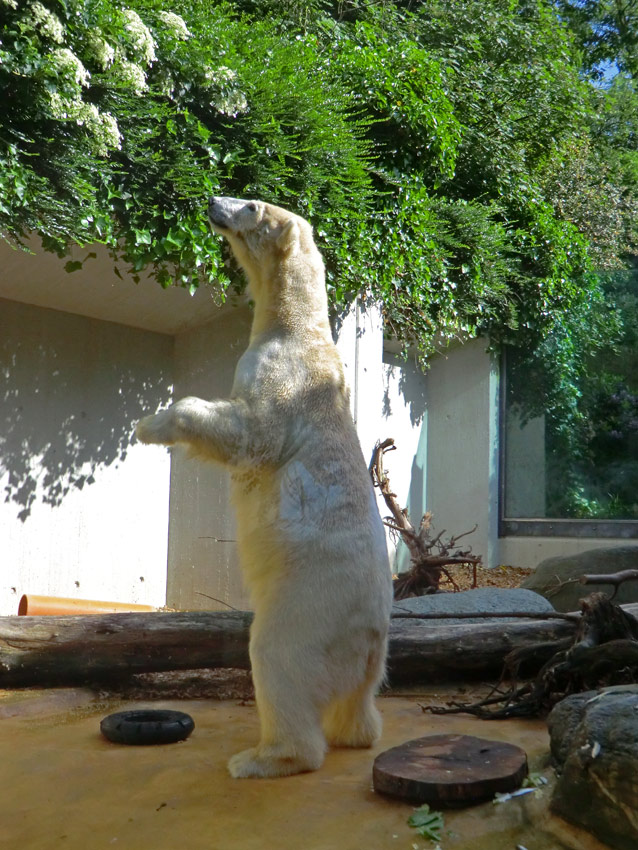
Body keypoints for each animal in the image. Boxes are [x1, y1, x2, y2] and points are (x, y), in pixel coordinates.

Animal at [138, 197, 392, 776]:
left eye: (251, 206)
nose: (213, 201)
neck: (298, 327)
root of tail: (368, 641)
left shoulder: (285, 378)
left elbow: (253, 432)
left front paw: (150, 424)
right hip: (367, 656)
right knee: (358, 704)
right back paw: (355, 732)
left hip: (309, 606)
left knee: (277, 659)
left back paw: (264, 757)